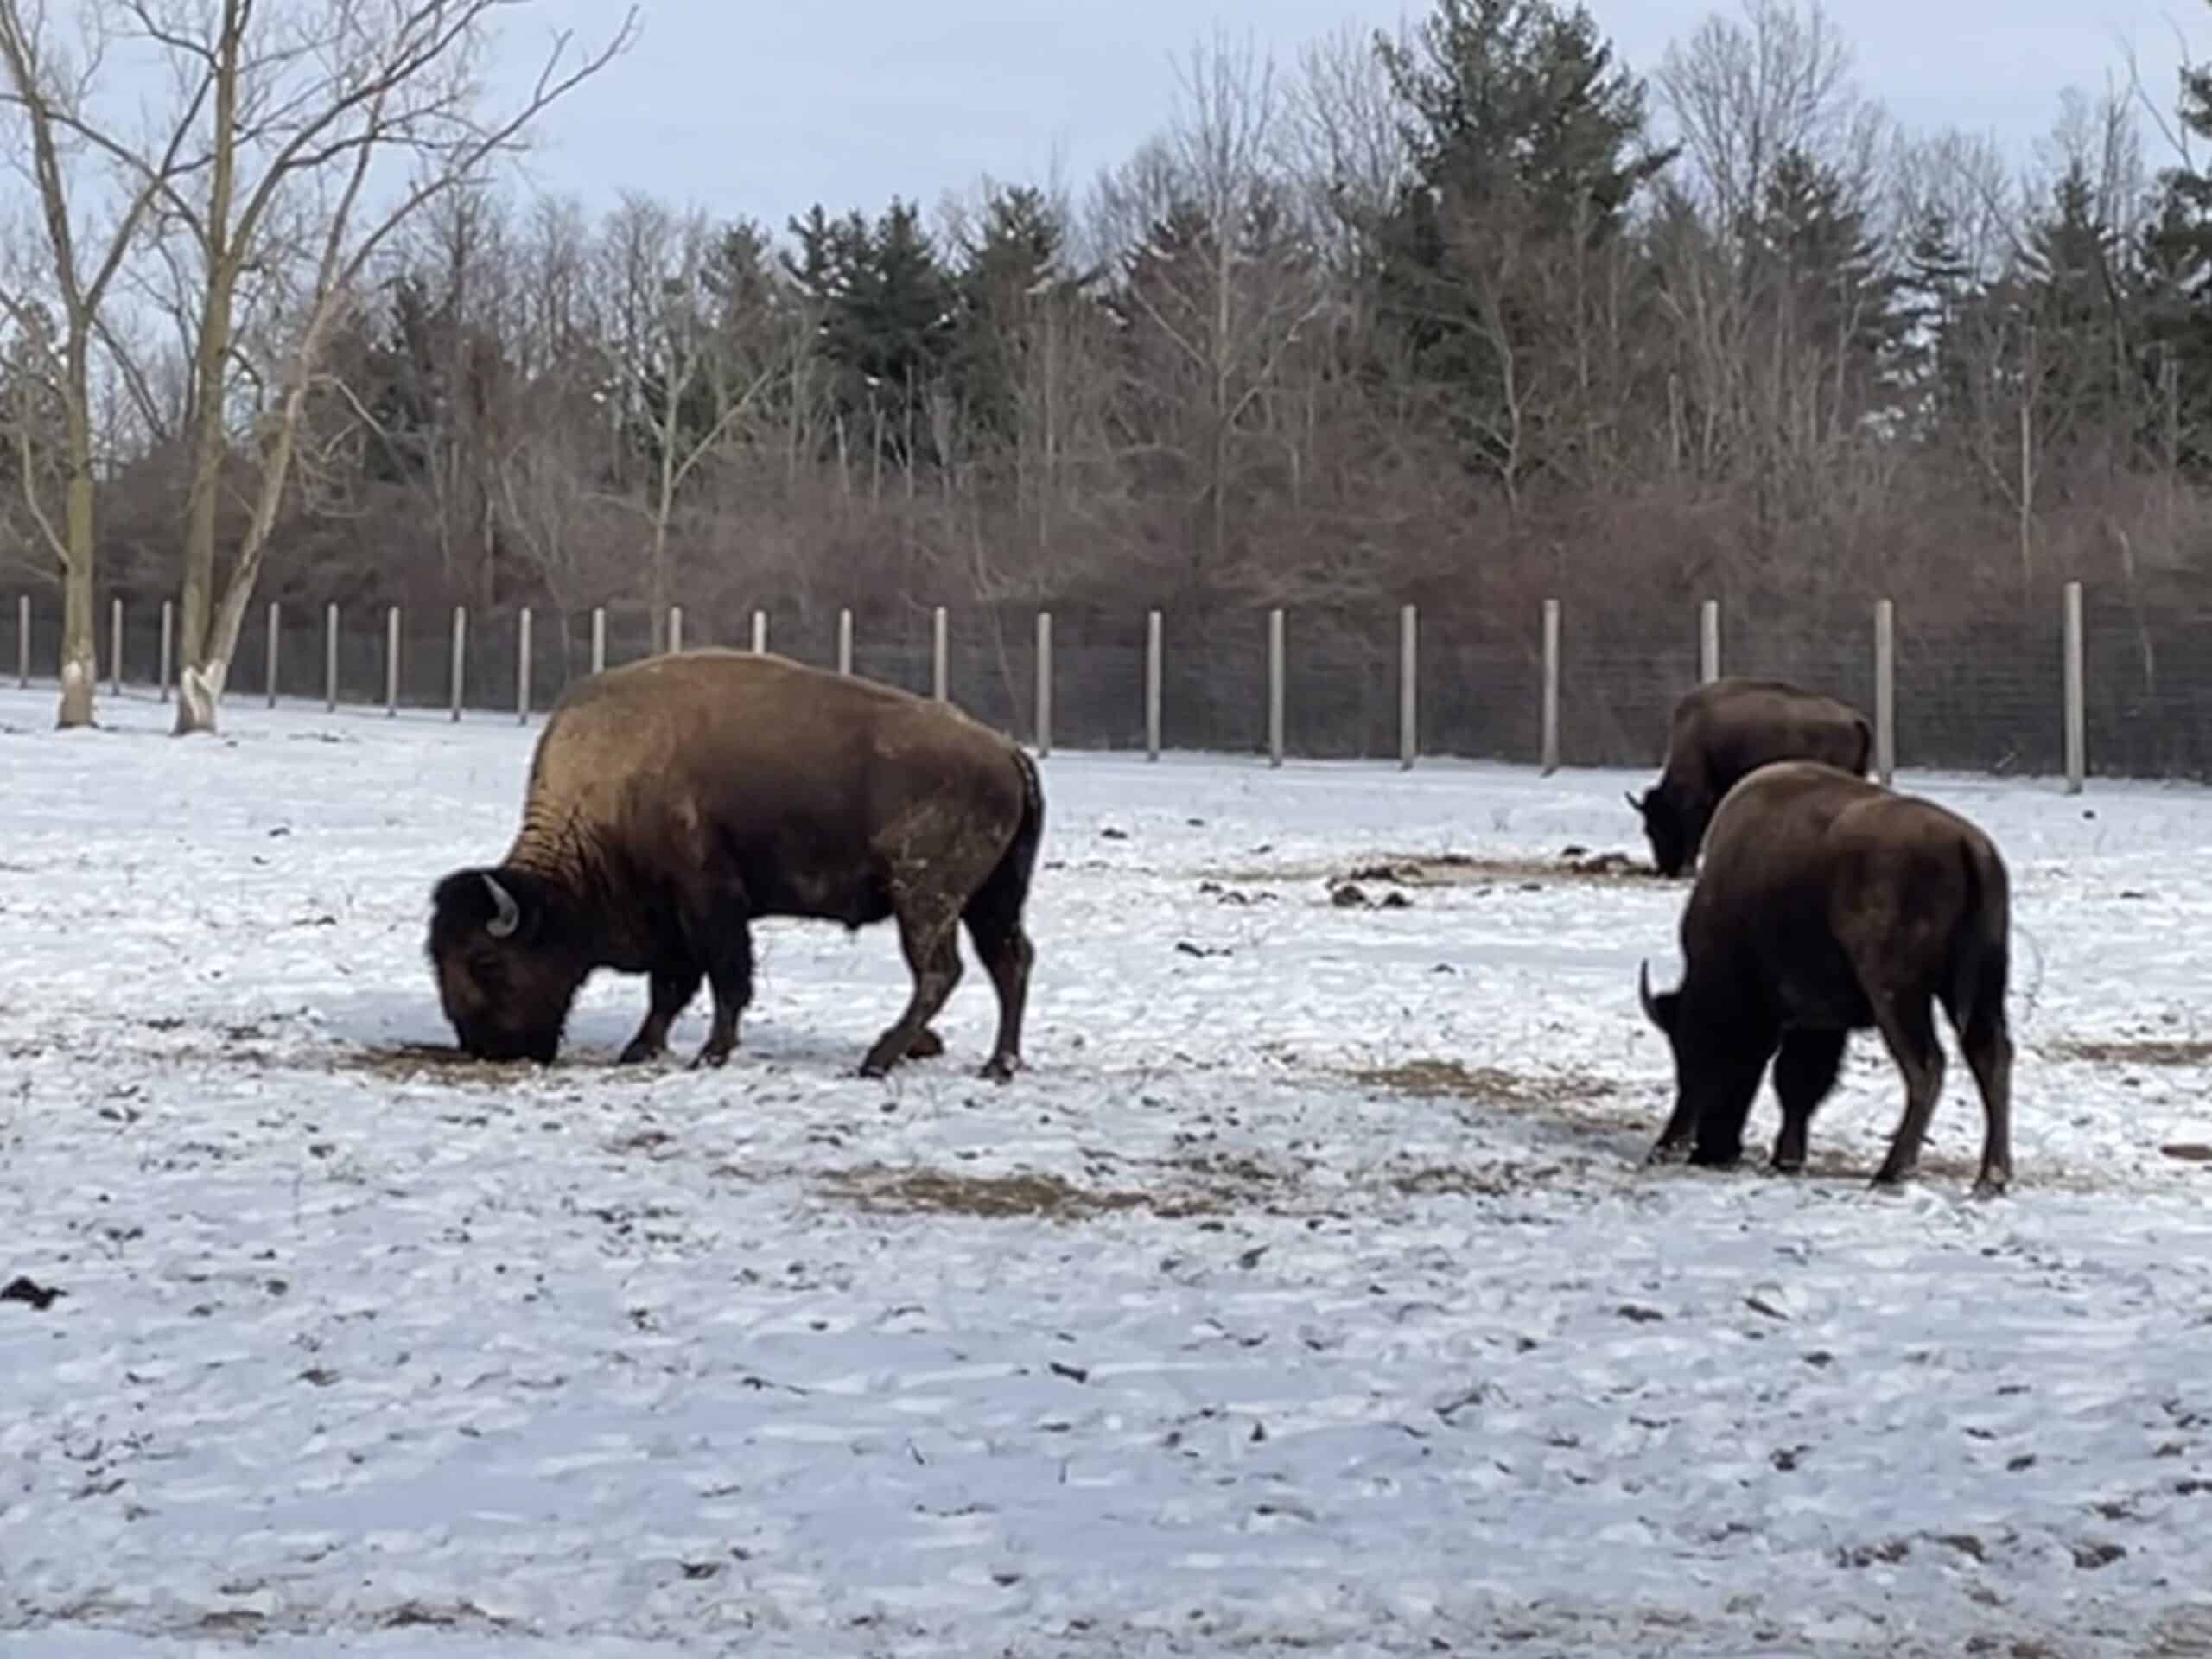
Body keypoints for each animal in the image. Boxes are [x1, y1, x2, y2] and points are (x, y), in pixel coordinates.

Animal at [427, 648, 1043, 1081]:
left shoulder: (708, 900)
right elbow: (671, 988)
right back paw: (998, 1066)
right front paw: (640, 1048)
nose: (485, 1047)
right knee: (1009, 962)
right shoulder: (670, 917)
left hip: (925, 899)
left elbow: (723, 978)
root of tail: (1006, 751)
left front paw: (709, 1054)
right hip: (991, 900)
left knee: (941, 971)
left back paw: (877, 1059)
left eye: (485, 960)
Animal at [1636, 760, 2014, 1195]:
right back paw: (1991, 1177)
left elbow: (1794, 1079)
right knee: (1991, 1056)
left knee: (1926, 1066)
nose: (1711, 1150)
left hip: (1899, 995)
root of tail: (1967, 845)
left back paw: (1890, 1172)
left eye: (1699, 1049)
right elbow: (1800, 1081)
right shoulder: (1819, 1020)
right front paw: (1788, 1157)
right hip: (1979, 988)